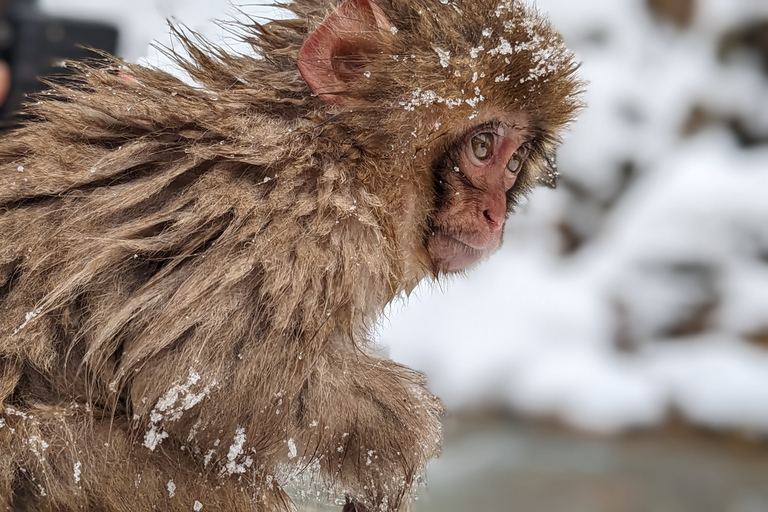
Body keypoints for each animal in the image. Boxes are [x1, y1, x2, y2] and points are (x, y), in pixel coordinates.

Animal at [0, 0, 580, 510]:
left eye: (515, 162)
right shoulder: (301, 223)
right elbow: (194, 373)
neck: (341, 152)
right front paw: (398, 442)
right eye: (483, 147)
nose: (494, 215)